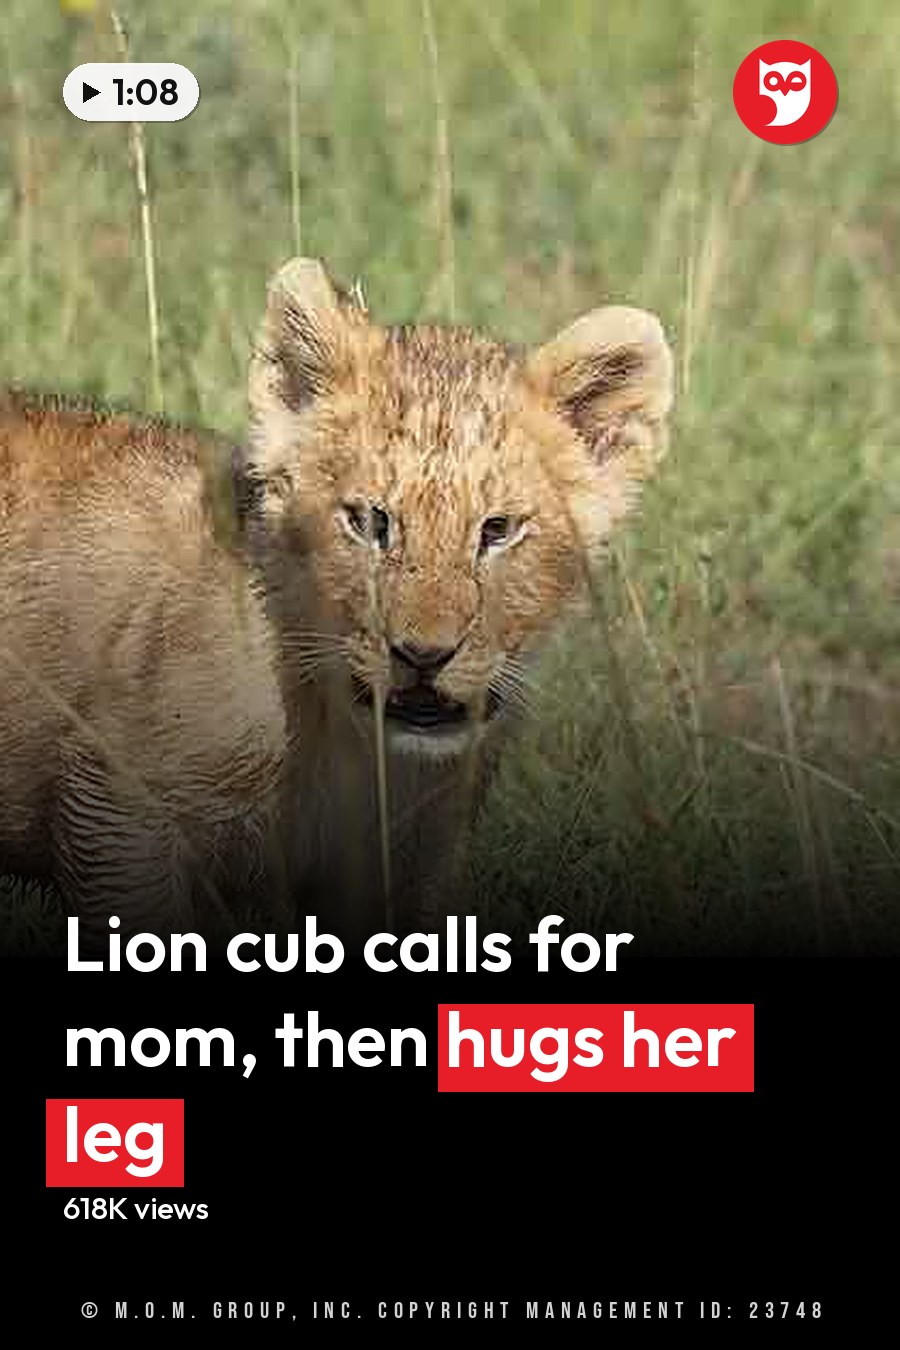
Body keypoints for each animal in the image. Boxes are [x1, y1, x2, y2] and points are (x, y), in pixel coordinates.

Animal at [0, 258, 673, 943]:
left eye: (497, 530)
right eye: (371, 522)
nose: (423, 655)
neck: (355, 745)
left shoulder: (411, 862)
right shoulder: (115, 807)